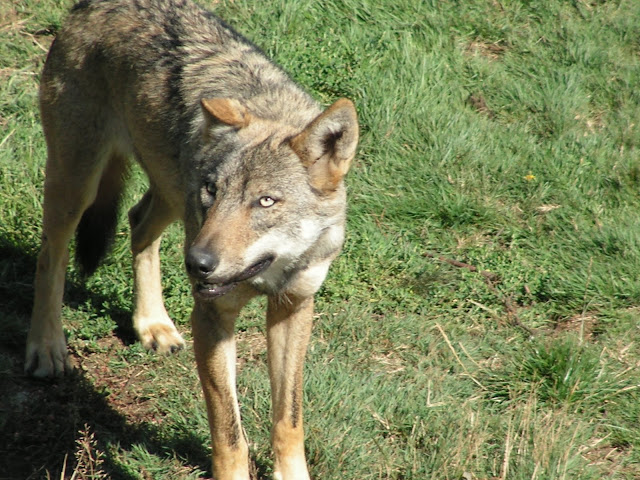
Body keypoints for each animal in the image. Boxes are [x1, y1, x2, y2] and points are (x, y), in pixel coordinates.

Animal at [26, 0, 360, 478]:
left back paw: (152, 324)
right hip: (81, 187)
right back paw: (47, 348)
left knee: (137, 223)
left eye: (265, 201)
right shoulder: (212, 316)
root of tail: (90, 5)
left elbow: (288, 419)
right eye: (213, 191)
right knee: (50, 256)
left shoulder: (294, 307)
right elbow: (229, 433)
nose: (197, 264)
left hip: (170, 196)